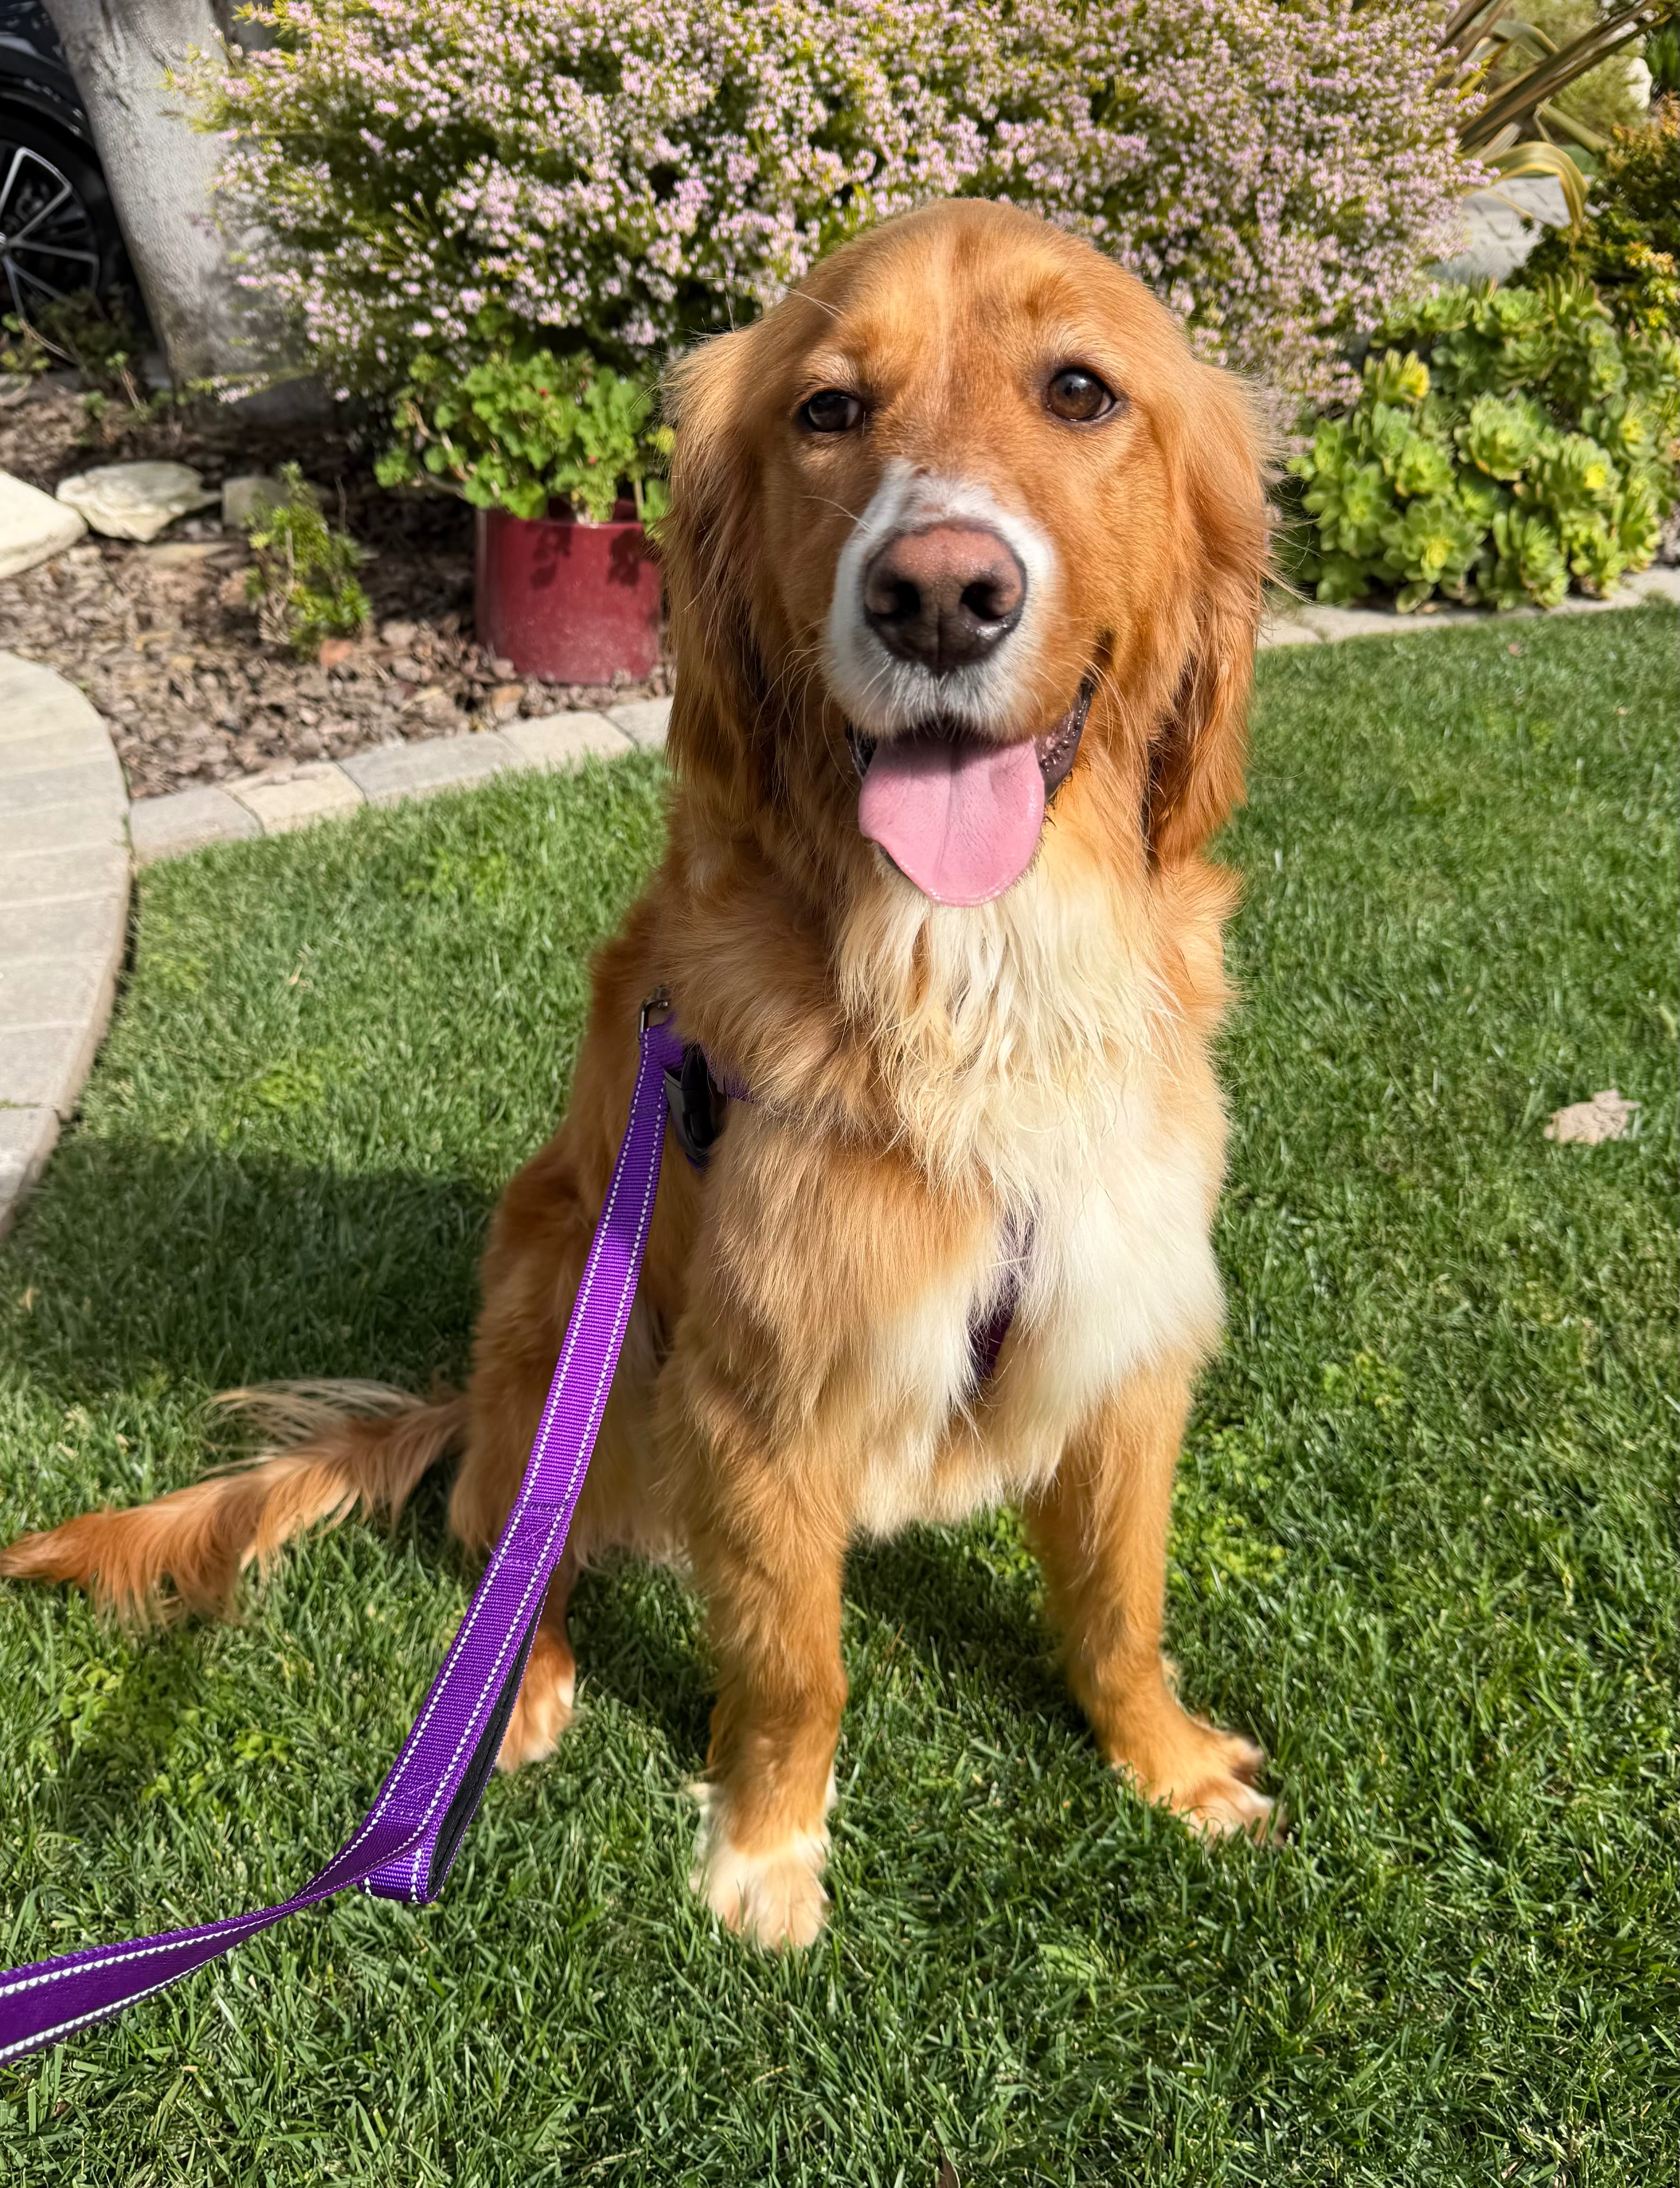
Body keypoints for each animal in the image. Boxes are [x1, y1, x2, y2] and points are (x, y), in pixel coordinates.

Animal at [3, 199, 1274, 1949]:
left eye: (1079, 390)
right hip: (560, 1290)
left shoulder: (1127, 1333)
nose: (937, 595)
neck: (978, 968)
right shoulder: (763, 1388)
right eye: (828, 409)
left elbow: (1113, 1604)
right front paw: (766, 1850)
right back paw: (518, 1693)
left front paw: (1163, 1758)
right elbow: (795, 1665)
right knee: (501, 1530)